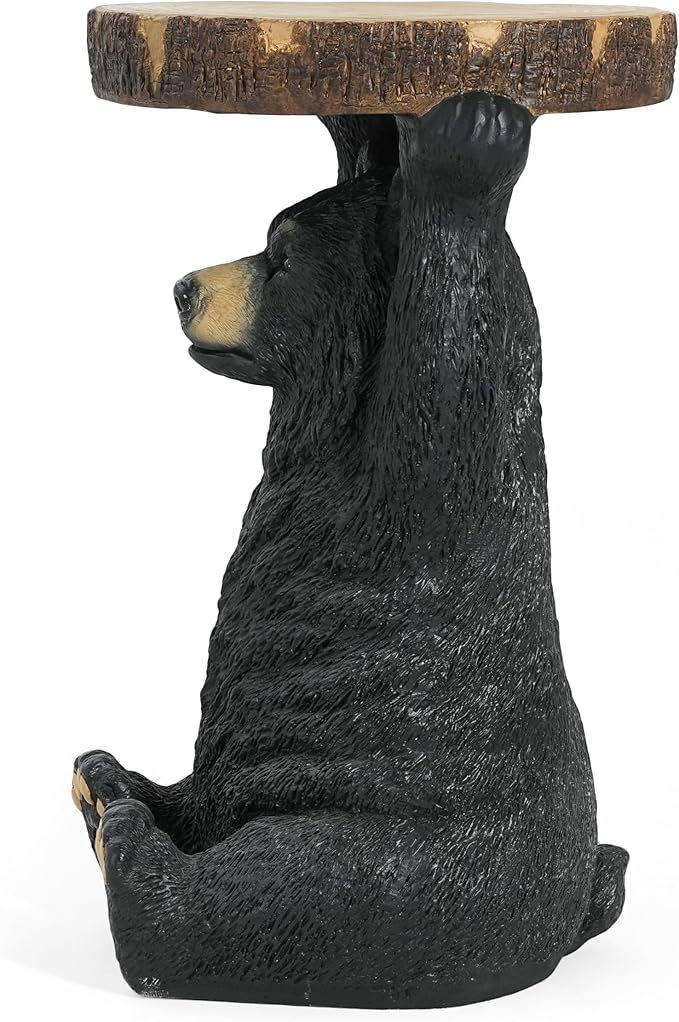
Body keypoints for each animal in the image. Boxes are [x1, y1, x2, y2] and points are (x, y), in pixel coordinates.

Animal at [72, 93, 628, 1009]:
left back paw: (125, 835)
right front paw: (376, 129)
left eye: (281, 259)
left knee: (274, 887)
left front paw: (470, 136)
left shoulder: (420, 495)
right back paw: (113, 777)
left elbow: (440, 388)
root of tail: (554, 928)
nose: (183, 286)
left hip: (407, 864)